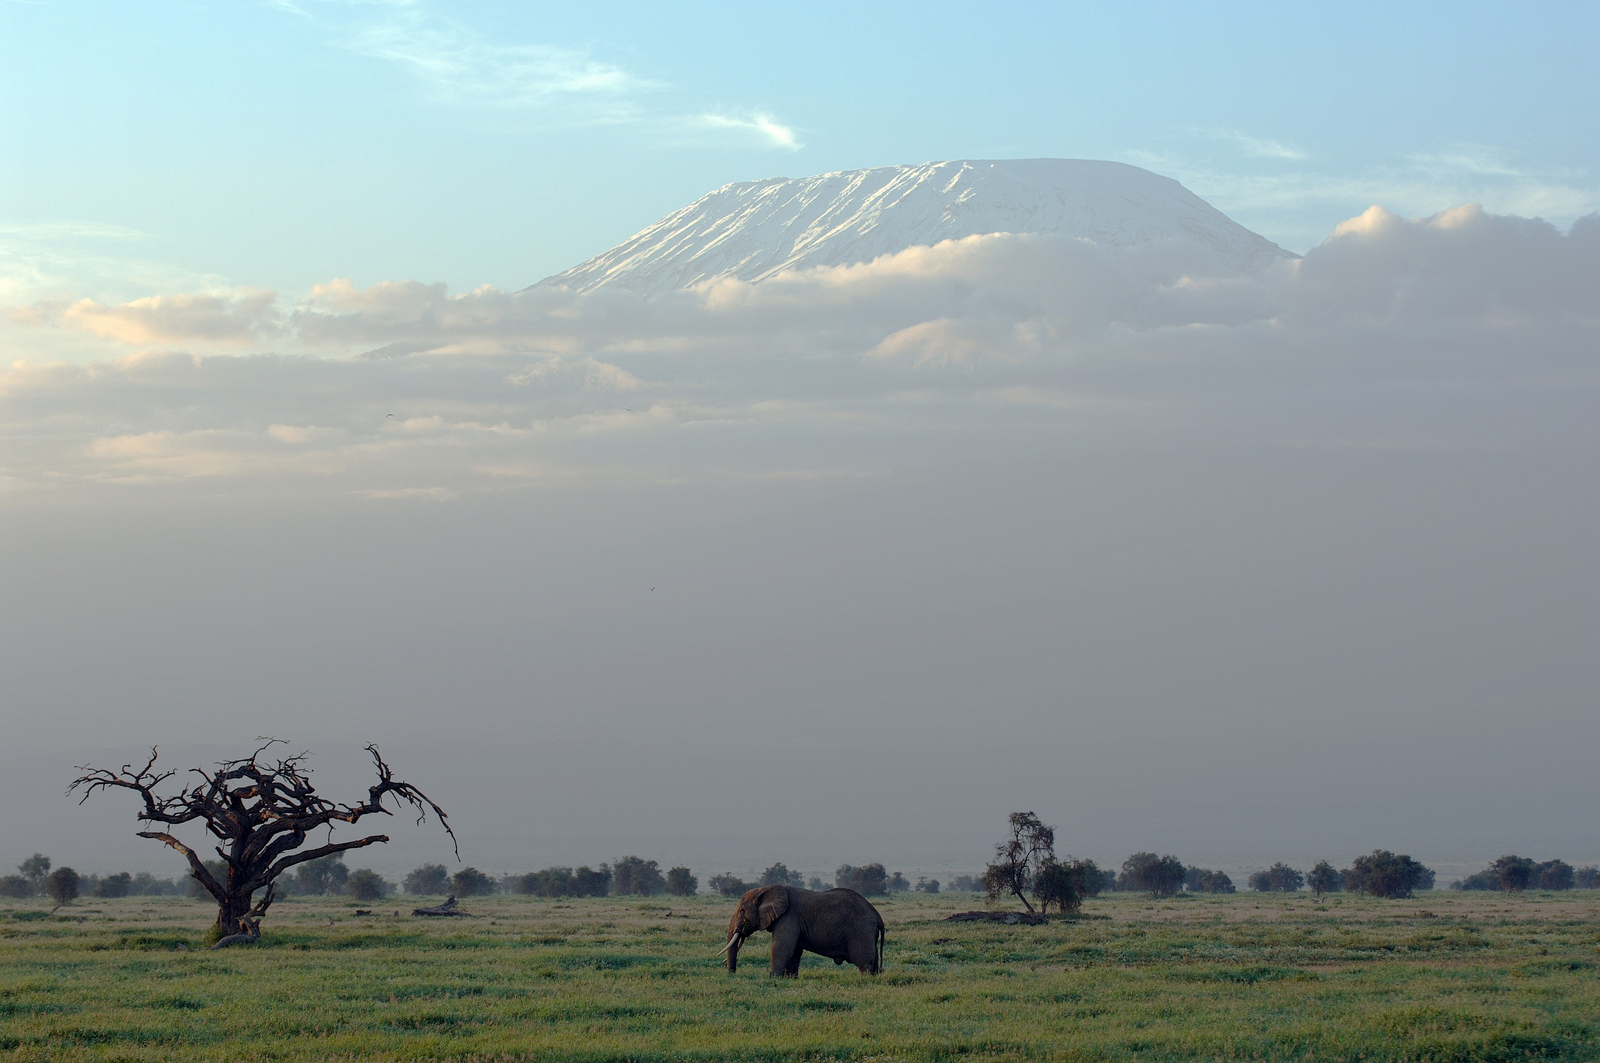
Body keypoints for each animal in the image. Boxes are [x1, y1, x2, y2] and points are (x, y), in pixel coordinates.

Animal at [719, 885, 885, 976]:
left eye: (742, 911)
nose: (732, 974)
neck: (766, 889)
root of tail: (876, 914)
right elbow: (794, 952)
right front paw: (790, 979)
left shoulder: (788, 917)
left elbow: (781, 948)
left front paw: (773, 978)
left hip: (861, 931)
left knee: (864, 962)